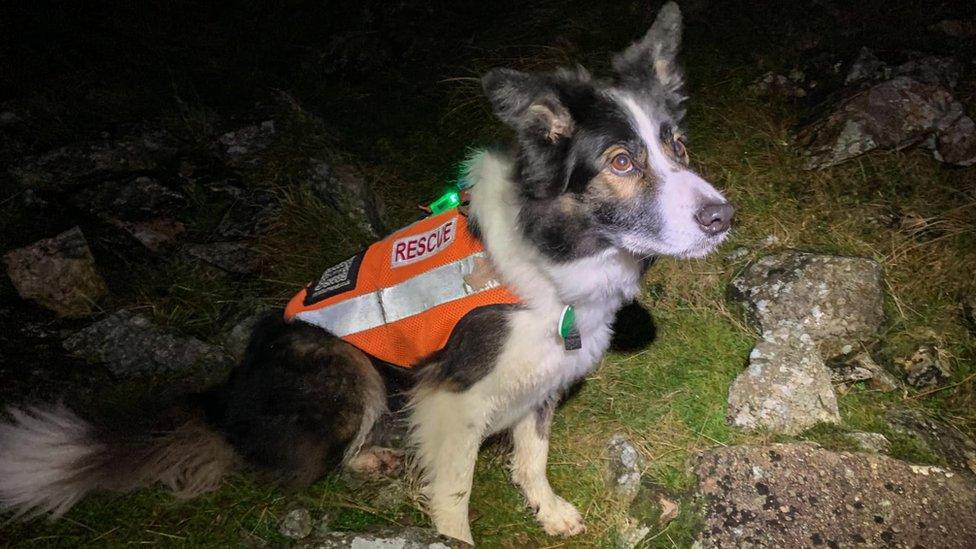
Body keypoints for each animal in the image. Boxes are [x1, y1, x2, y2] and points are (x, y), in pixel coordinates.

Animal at [0, 3, 732, 544]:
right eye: (620, 162)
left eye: (676, 144)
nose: (724, 217)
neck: (554, 252)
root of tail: (225, 399)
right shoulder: (450, 395)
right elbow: (455, 488)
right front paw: (452, 538)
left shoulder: (546, 371)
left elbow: (533, 454)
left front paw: (548, 511)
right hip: (346, 370)